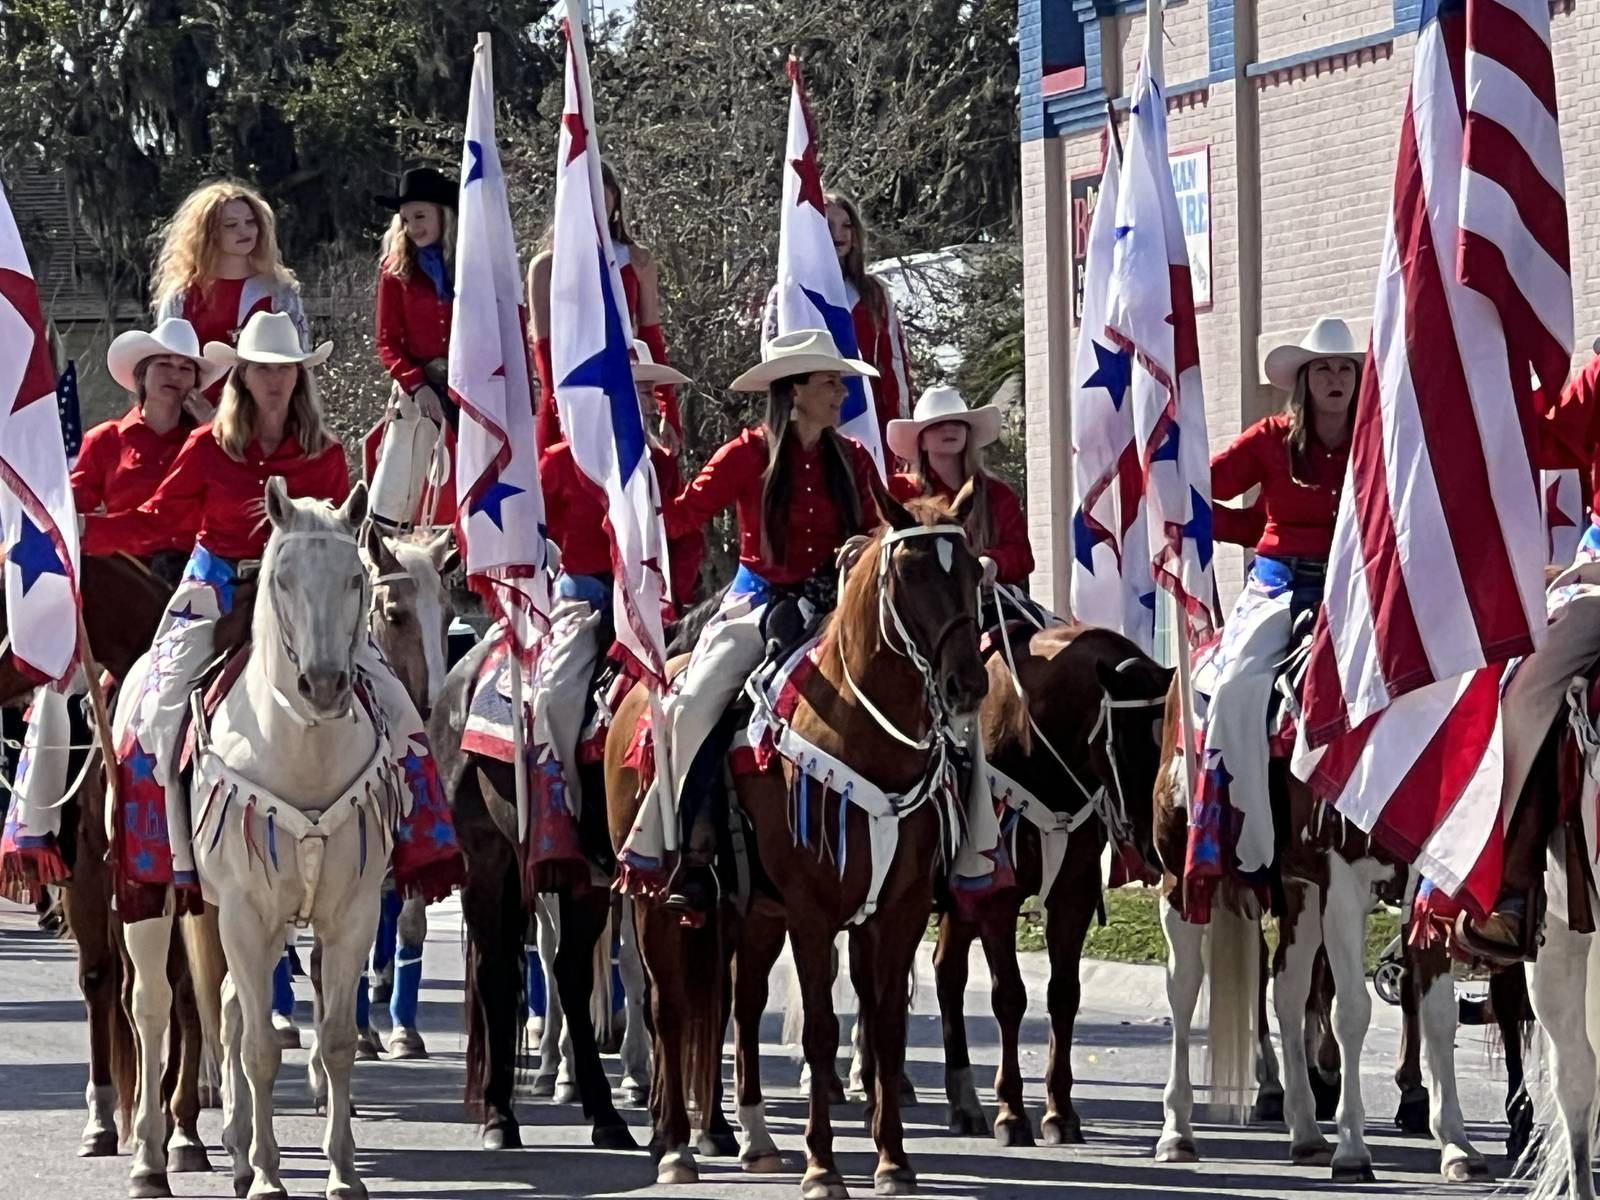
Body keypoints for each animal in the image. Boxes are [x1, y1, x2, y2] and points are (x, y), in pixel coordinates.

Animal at [604, 489, 985, 1200]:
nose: (967, 684)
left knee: (743, 1006)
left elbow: (885, 1029)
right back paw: (675, 1147)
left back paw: (754, 1139)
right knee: (668, 1007)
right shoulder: (813, 913)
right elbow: (821, 1031)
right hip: (653, 901)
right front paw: (823, 1168)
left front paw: (892, 1161)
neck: (862, 733)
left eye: (974, 571)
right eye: (912, 574)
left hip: (753, 913)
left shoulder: (895, 912)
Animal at [934, 624, 1177, 1152]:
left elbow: (1064, 994)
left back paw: (961, 1102)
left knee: (946, 974)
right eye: (1124, 746)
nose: (1154, 848)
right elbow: (1009, 996)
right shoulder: (995, 896)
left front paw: (1060, 1112)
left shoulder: (1073, 892)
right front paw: (1010, 1111)